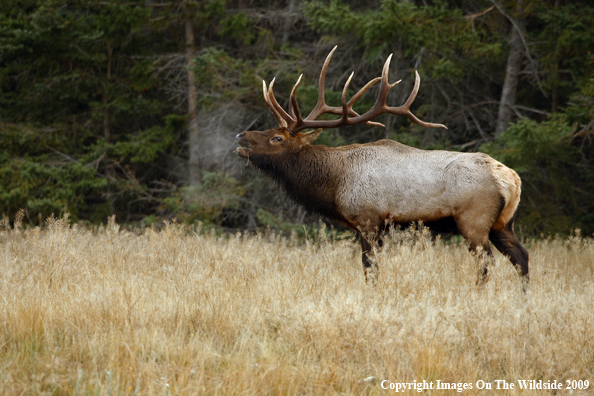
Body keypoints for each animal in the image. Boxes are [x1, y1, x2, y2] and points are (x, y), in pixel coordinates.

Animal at [236, 46, 528, 284]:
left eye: (277, 138)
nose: (241, 136)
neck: (334, 184)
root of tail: (512, 180)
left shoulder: (368, 218)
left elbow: (370, 268)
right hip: (503, 222)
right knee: (521, 256)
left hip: (474, 219)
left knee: (486, 261)